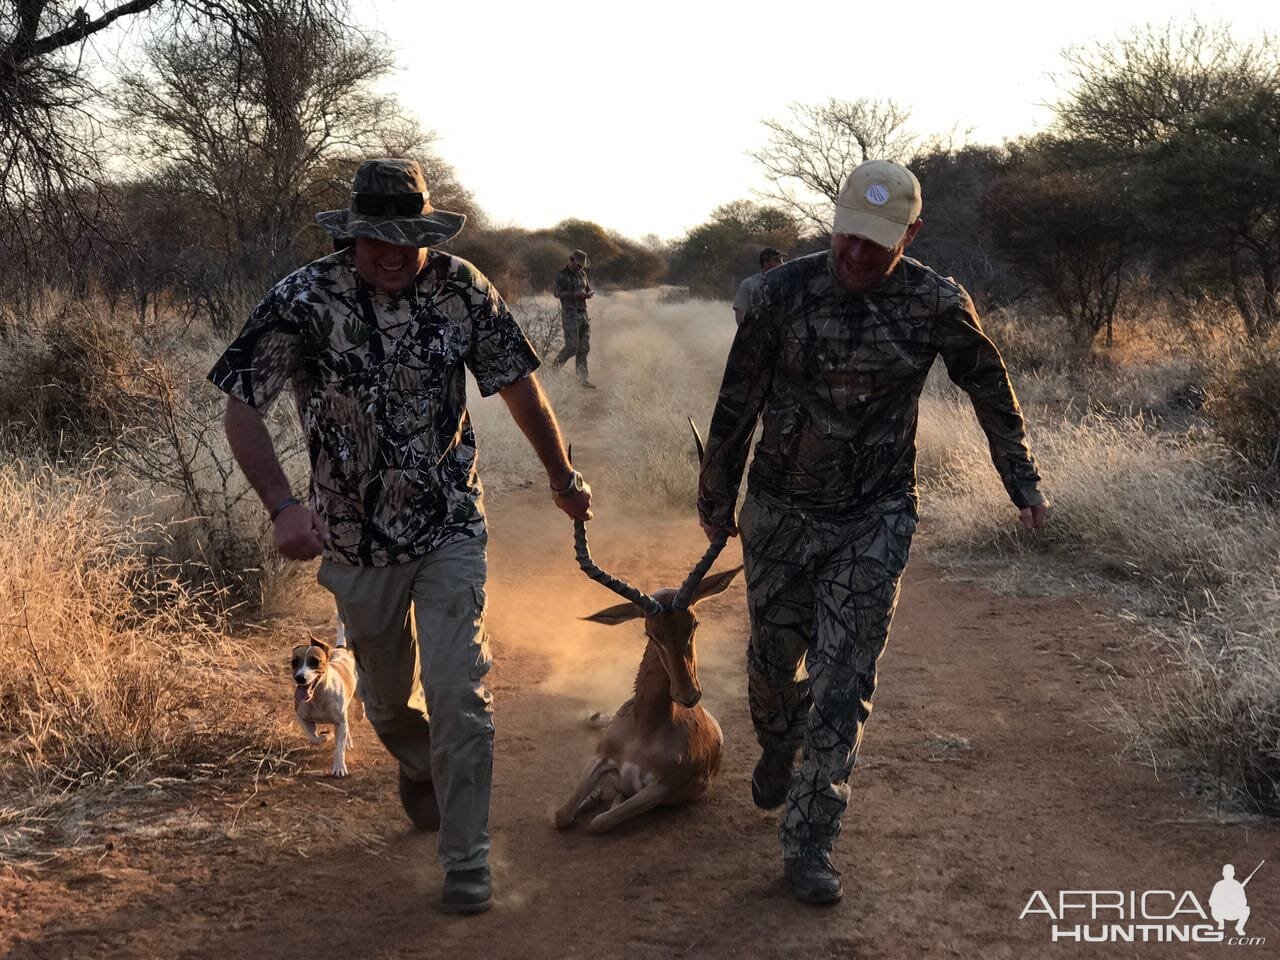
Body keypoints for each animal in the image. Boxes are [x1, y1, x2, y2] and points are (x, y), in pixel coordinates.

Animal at [293, 632, 363, 783]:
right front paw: (325, 736)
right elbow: (313, 737)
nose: (300, 678)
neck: (318, 694)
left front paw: (339, 768)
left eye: (315, 661)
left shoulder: (340, 722)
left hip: (357, 690)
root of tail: (341, 649)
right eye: (294, 661)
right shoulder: (302, 717)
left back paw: (359, 714)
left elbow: (339, 750)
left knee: (360, 702)